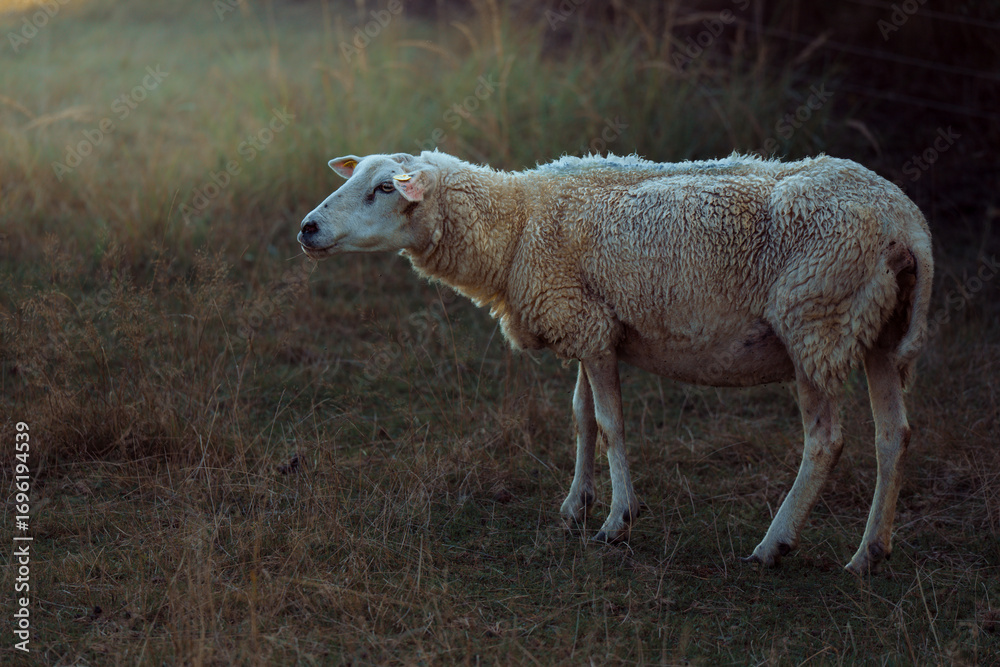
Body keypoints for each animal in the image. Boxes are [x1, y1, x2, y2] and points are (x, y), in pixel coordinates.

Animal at [298, 149, 933, 574]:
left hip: (815, 320)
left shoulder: (586, 322)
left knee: (825, 440)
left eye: (385, 187)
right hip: (879, 331)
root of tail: (907, 224)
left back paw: (773, 544)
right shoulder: (587, 323)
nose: (308, 227)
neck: (516, 226)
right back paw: (870, 552)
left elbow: (611, 424)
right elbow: (582, 418)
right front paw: (575, 507)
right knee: (893, 434)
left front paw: (616, 521)